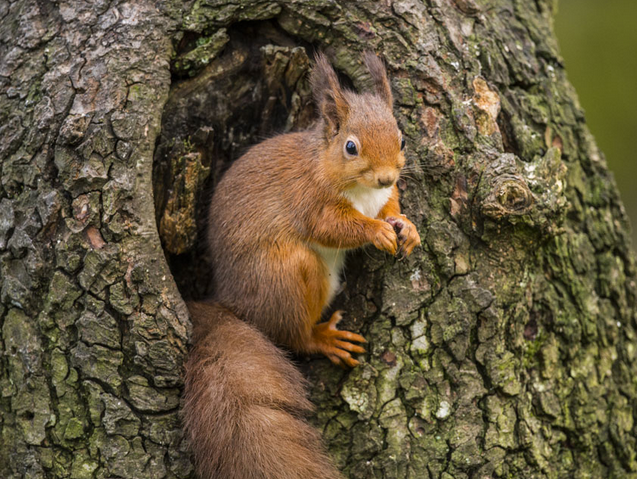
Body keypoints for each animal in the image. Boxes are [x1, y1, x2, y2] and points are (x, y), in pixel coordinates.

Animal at [183, 53, 422, 479]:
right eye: (350, 147)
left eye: (403, 140)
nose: (385, 176)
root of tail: (231, 302)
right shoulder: (308, 199)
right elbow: (333, 227)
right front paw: (375, 231)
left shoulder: (383, 196)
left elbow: (391, 206)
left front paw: (406, 227)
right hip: (288, 275)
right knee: (293, 336)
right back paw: (324, 338)